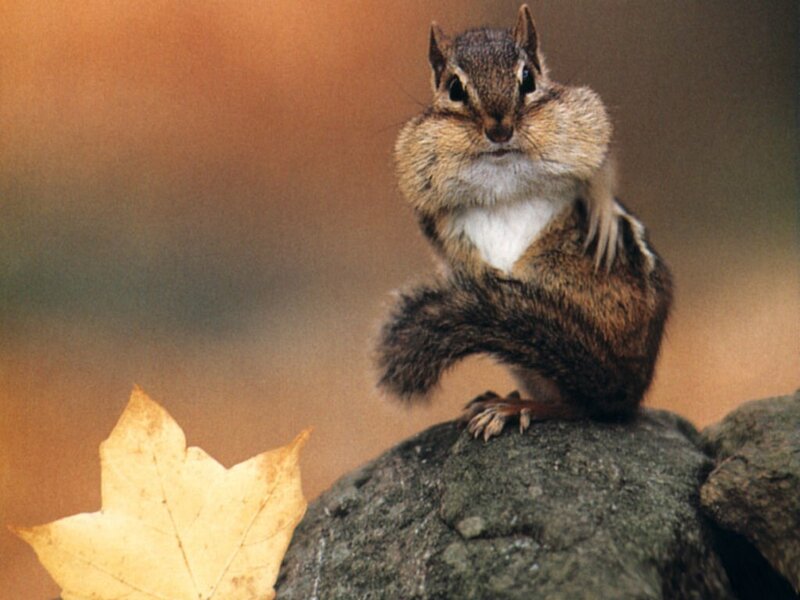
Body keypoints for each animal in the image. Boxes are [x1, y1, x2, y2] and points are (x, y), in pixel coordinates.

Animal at [374, 5, 673, 440]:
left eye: (528, 78)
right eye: (454, 89)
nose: (500, 129)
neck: (500, 163)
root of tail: (628, 385)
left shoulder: (584, 119)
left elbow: (602, 165)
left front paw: (604, 213)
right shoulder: (419, 177)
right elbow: (439, 233)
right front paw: (472, 268)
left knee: (581, 406)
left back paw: (516, 407)